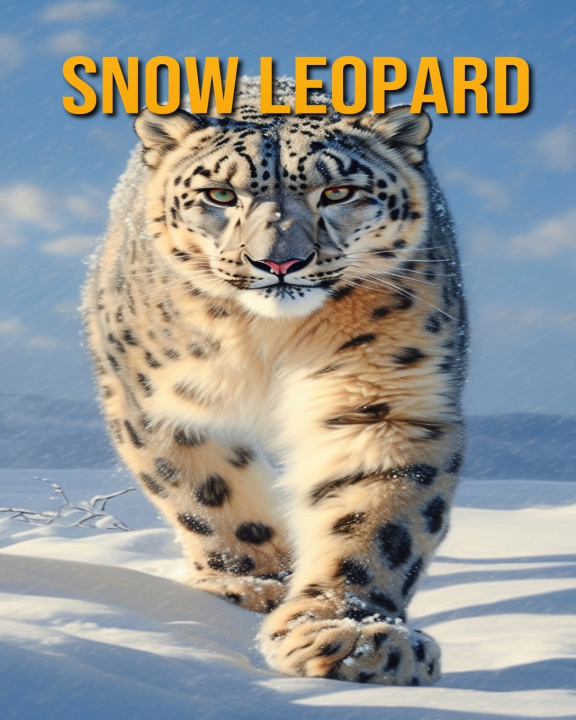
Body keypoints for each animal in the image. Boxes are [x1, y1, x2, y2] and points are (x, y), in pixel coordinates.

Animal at [83, 76, 467, 686]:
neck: (269, 341)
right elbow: (207, 493)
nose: (279, 264)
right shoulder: (153, 397)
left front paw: (353, 635)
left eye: (338, 192)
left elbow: (380, 518)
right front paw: (255, 585)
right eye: (220, 195)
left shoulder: (387, 403)